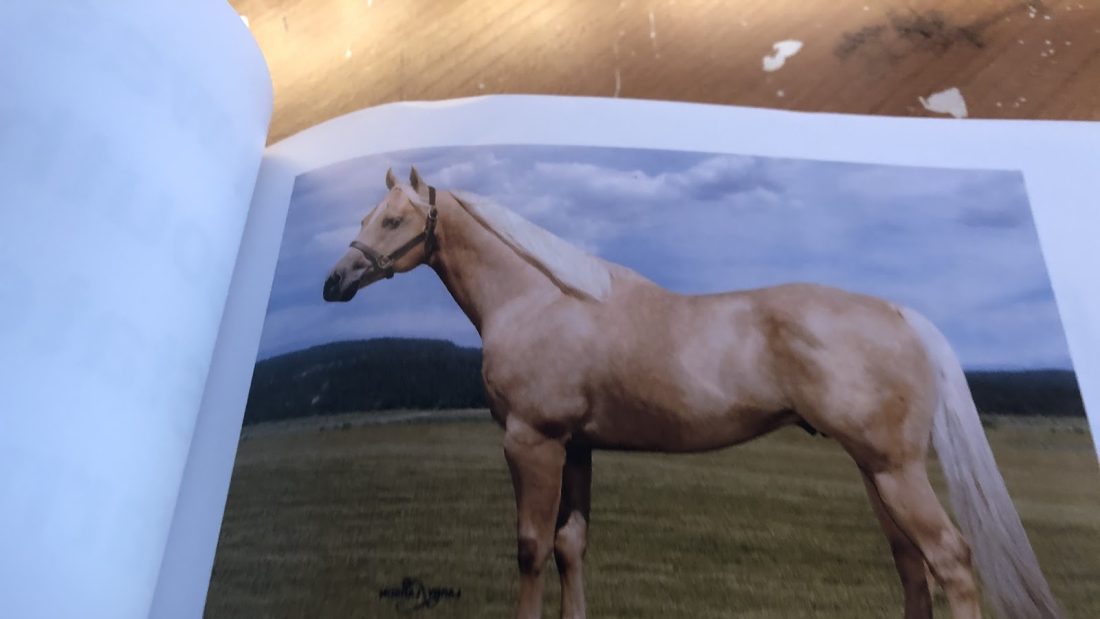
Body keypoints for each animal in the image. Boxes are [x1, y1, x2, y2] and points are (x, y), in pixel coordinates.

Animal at [321, 167, 1063, 619]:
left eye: (394, 221)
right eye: (365, 215)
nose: (334, 283)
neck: (539, 299)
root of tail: (900, 313)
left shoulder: (533, 441)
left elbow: (531, 546)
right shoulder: (578, 448)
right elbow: (570, 545)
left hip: (895, 470)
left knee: (951, 559)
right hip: (876, 470)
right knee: (912, 562)